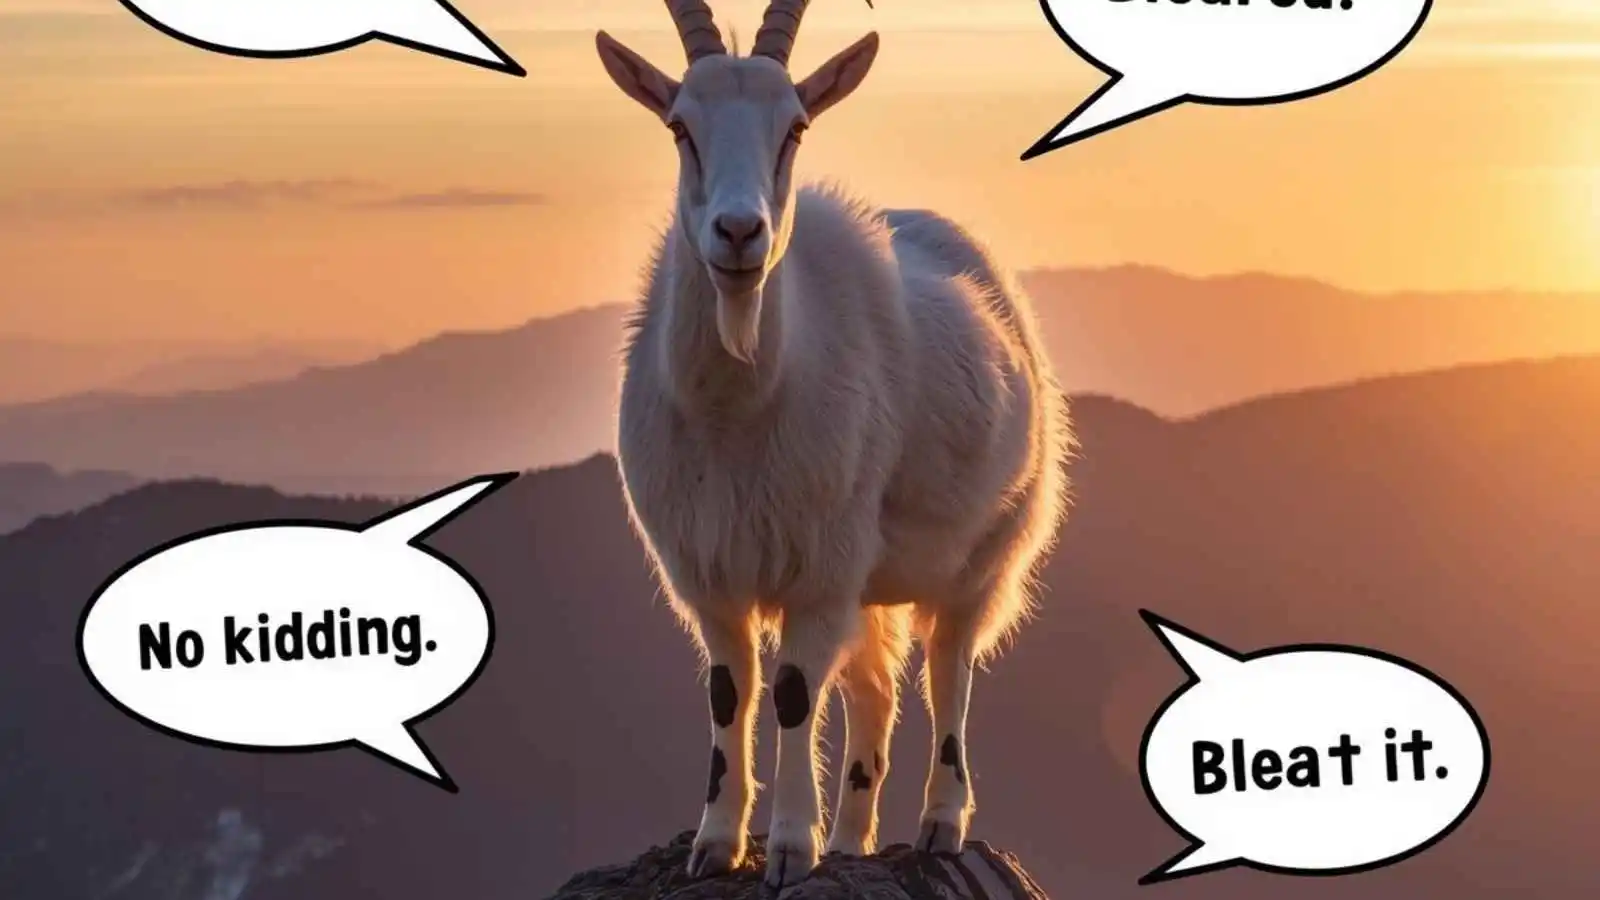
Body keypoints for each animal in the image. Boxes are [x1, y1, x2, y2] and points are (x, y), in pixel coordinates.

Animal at [597, 0, 1071, 889]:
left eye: (796, 126)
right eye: (679, 126)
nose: (739, 233)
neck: (737, 413)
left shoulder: (818, 569)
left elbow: (790, 691)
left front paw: (788, 849)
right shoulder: (707, 572)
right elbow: (730, 691)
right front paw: (717, 843)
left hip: (985, 553)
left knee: (949, 672)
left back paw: (939, 824)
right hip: (871, 582)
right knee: (874, 692)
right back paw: (853, 838)